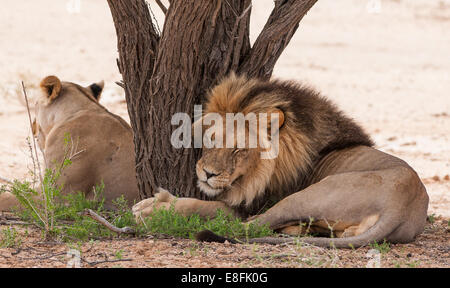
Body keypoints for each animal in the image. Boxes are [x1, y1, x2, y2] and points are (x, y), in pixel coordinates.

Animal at [133, 73, 428, 246]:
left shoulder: (256, 202)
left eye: (238, 150)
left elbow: (206, 206)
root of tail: (400, 208)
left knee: (245, 224)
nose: (208, 173)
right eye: (211, 139)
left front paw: (151, 208)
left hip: (306, 196)